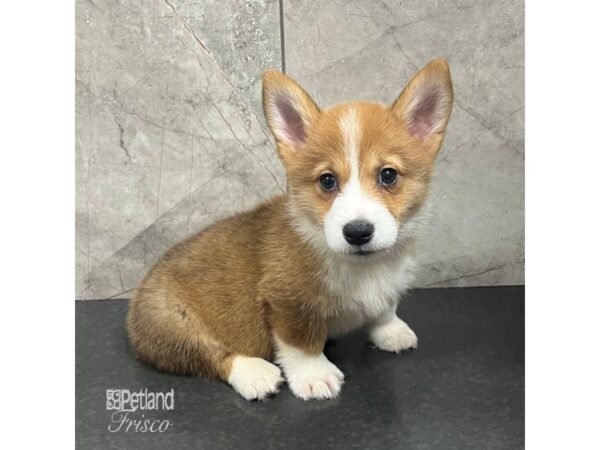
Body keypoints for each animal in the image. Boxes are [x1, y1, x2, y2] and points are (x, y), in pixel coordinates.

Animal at [127, 59, 454, 400]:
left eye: (388, 175)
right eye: (327, 180)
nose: (358, 232)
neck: (362, 267)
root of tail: (142, 290)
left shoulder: (386, 288)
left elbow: (384, 309)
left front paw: (391, 332)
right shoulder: (287, 302)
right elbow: (300, 343)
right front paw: (314, 376)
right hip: (173, 323)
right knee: (209, 355)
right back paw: (255, 374)